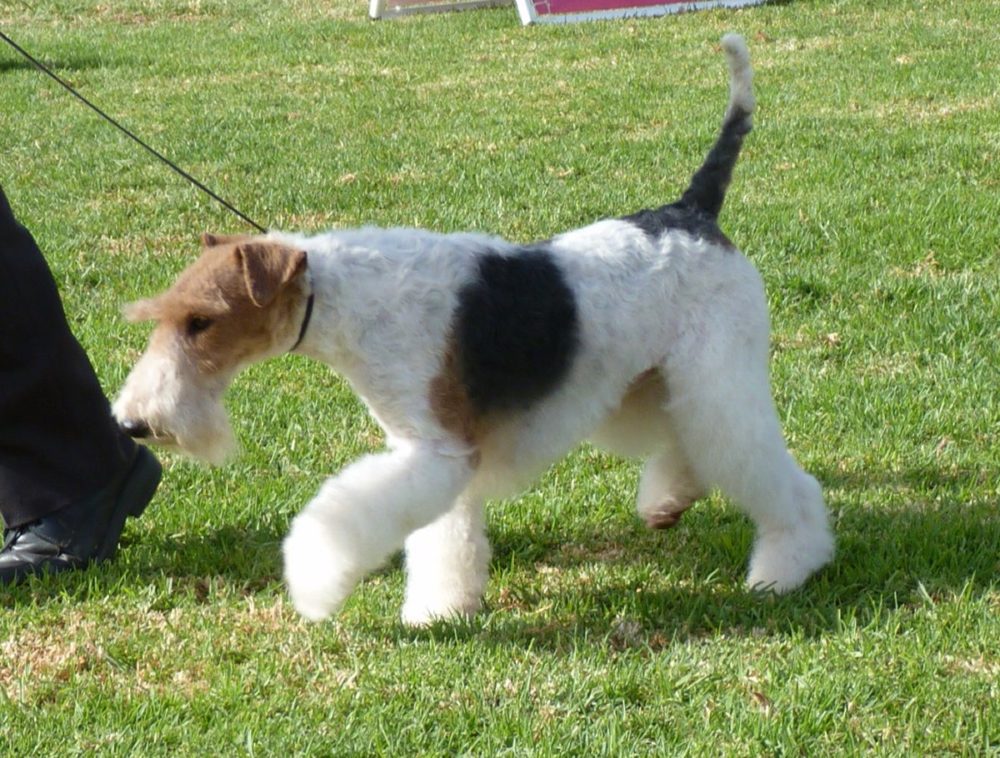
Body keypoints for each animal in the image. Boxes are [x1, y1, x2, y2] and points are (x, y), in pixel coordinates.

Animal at [115, 35, 836, 628]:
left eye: (201, 322)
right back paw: (670, 501)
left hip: (716, 374)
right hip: (651, 379)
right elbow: (446, 537)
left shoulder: (436, 449)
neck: (345, 300)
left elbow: (340, 523)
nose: (134, 424)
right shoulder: (434, 447)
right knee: (686, 443)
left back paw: (784, 568)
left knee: (775, 476)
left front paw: (313, 584)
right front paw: (439, 609)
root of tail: (692, 211)